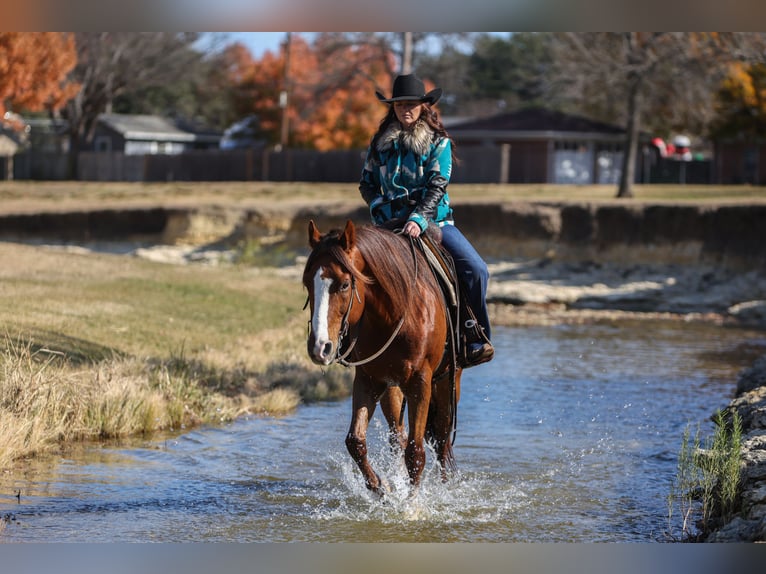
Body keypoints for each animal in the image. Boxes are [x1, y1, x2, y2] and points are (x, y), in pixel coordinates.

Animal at [302, 219, 462, 496]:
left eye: (344, 284)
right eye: (307, 283)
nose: (320, 347)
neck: (396, 314)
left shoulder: (420, 382)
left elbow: (416, 453)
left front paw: (412, 503)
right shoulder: (369, 379)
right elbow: (355, 441)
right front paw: (382, 488)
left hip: (447, 382)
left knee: (441, 441)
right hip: (393, 387)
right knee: (397, 436)